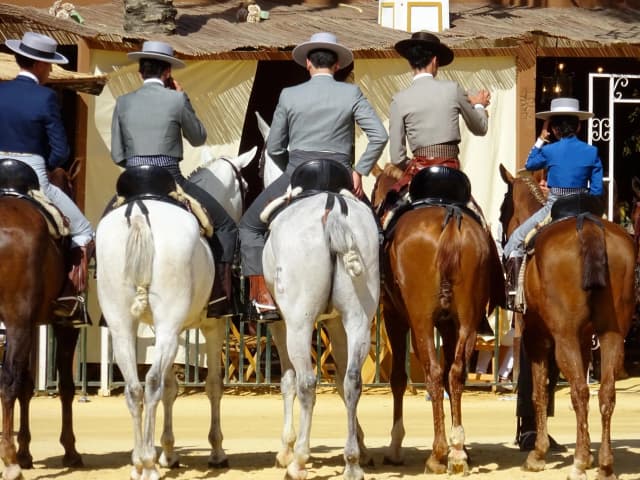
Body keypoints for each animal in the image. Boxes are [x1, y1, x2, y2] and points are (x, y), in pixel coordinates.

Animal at [0, 160, 83, 480]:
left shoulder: (32, 325)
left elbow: (27, 385)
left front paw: (25, 452)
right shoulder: (65, 326)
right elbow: (66, 387)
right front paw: (70, 450)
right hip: (17, 322)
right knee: (7, 381)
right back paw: (8, 461)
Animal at [95, 147, 255, 480]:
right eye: (245, 185)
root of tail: (140, 211)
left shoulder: (165, 330)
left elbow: (171, 388)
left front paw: (168, 452)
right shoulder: (212, 326)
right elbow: (213, 386)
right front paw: (217, 451)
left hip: (123, 325)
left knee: (136, 387)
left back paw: (141, 461)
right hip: (169, 326)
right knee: (152, 381)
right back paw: (147, 463)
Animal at [255, 111, 374, 469]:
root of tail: (331, 205)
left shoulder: (280, 324)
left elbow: (288, 380)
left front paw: (286, 447)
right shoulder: (335, 322)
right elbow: (341, 378)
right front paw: (360, 444)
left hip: (299, 323)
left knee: (307, 382)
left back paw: (299, 458)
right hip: (358, 319)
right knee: (352, 380)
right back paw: (352, 461)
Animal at [371, 166, 504, 475]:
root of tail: (450, 217)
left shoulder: (395, 317)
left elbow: (399, 378)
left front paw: (395, 446)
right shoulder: (449, 324)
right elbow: (450, 375)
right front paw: (462, 448)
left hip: (420, 321)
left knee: (432, 372)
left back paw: (437, 453)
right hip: (467, 320)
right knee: (455, 373)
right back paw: (455, 451)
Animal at [499, 164, 635, 480]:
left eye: (502, 208)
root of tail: (589, 227)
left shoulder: (535, 337)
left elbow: (538, 391)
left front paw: (538, 452)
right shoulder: (585, 339)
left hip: (564, 337)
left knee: (580, 392)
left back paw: (580, 462)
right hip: (611, 334)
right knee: (605, 392)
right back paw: (604, 464)